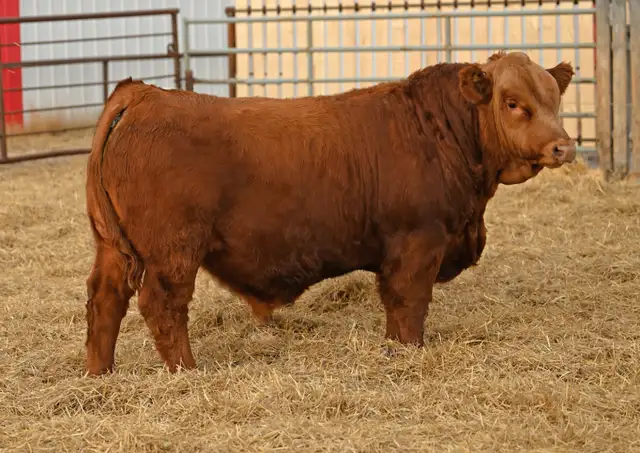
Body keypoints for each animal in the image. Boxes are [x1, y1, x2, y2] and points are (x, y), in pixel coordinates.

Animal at [84, 51, 576, 376]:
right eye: (512, 102)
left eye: (555, 99)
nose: (563, 146)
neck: (440, 130)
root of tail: (144, 94)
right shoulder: (419, 241)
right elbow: (409, 304)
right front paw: (408, 352)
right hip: (173, 253)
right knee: (163, 306)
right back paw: (186, 371)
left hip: (112, 249)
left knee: (105, 301)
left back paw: (100, 373)